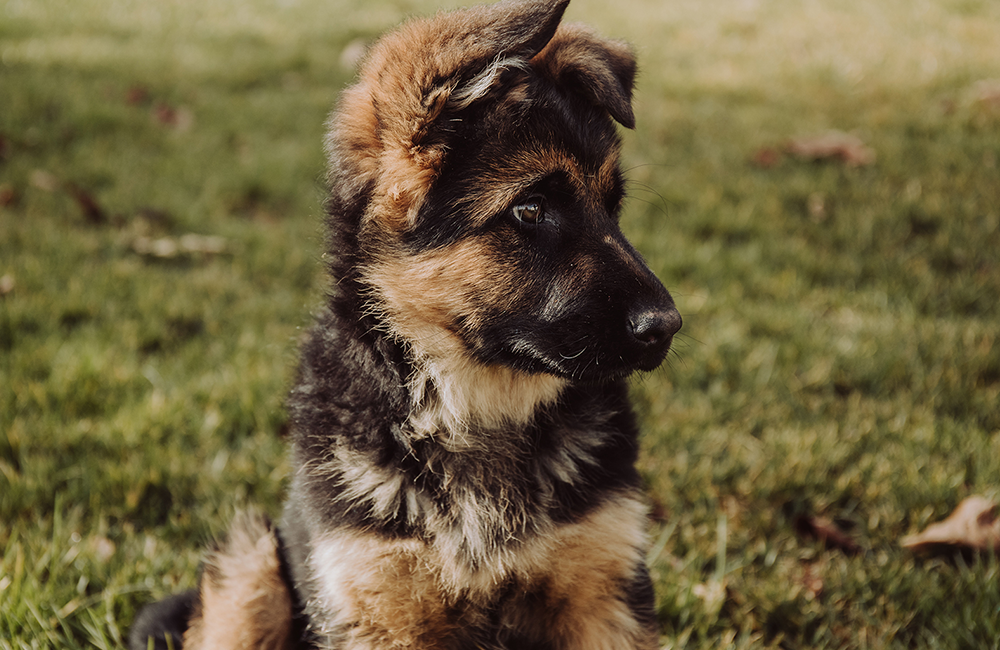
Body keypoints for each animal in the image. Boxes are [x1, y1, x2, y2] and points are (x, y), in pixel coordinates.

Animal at [129, 0, 680, 644]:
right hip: (250, 563)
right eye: (530, 209)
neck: (476, 408)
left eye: (613, 208)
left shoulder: (604, 592)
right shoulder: (378, 605)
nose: (667, 326)